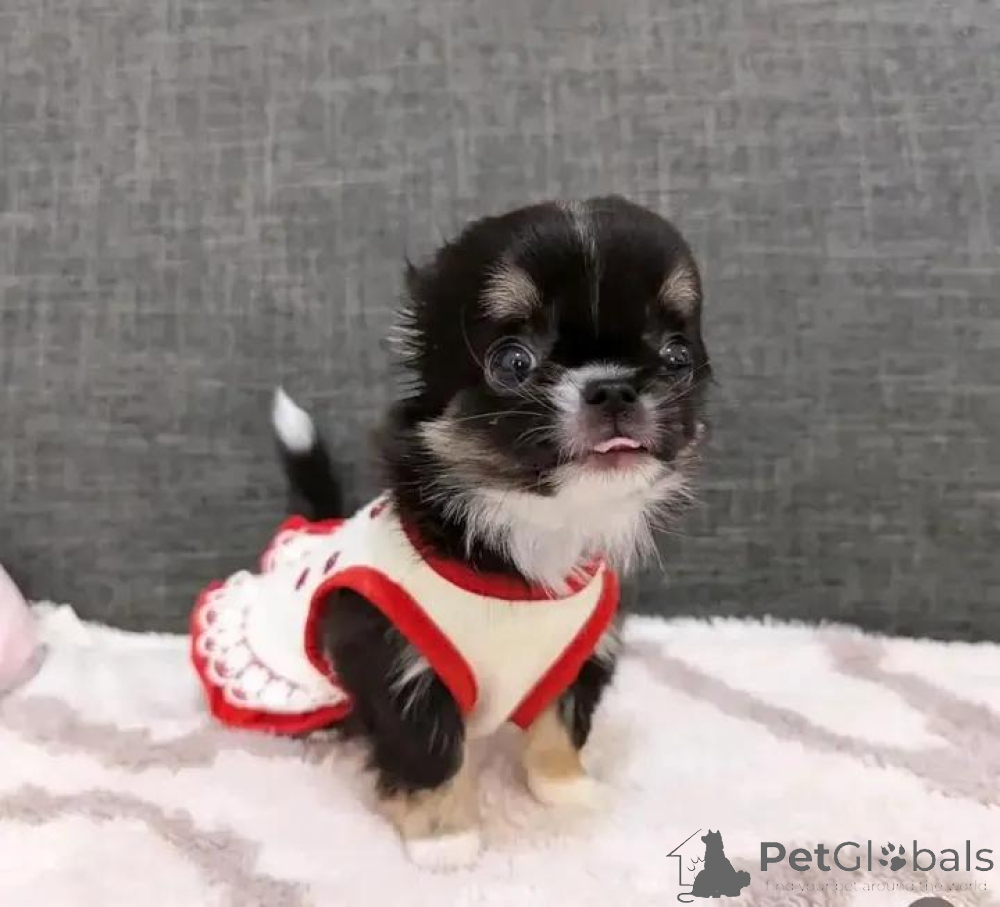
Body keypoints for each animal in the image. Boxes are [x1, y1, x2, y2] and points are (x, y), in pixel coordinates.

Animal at [191, 196, 711, 869]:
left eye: (676, 358)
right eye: (512, 362)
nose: (615, 386)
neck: (528, 530)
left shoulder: (583, 652)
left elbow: (561, 722)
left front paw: (565, 788)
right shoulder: (397, 661)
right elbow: (428, 747)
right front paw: (443, 836)